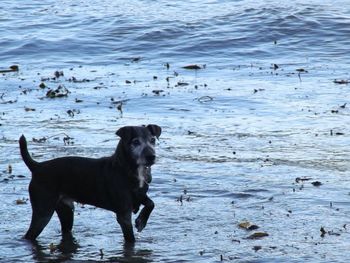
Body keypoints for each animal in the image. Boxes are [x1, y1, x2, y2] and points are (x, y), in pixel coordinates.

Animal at [19, 125, 161, 244]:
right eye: (136, 142)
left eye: (152, 140)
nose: (151, 157)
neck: (127, 168)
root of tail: (37, 167)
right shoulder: (123, 213)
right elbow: (130, 238)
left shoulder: (140, 194)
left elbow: (151, 203)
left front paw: (141, 221)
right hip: (43, 210)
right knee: (30, 234)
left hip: (66, 209)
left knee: (66, 228)